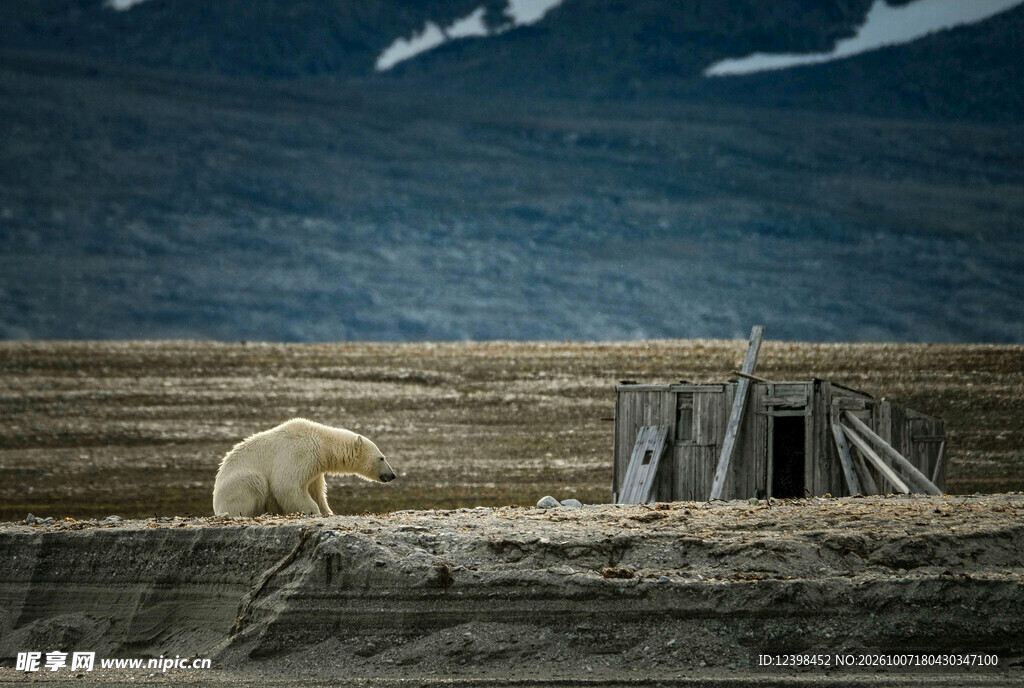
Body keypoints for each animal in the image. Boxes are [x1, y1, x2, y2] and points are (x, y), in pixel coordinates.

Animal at [212, 418, 396, 517]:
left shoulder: (316, 467)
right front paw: (313, 511)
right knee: (255, 483)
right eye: (382, 458)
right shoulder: (300, 453)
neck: (322, 443)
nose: (392, 475)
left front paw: (327, 511)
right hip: (238, 484)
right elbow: (286, 485)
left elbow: (316, 491)